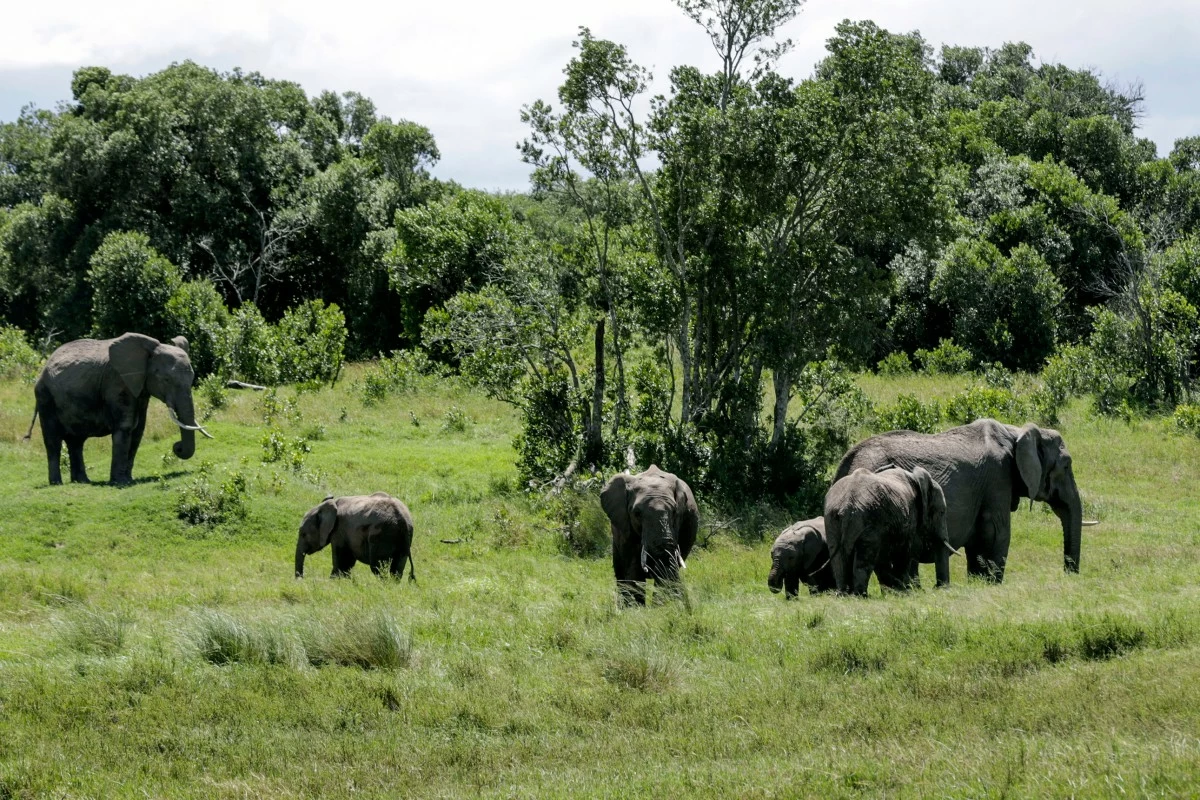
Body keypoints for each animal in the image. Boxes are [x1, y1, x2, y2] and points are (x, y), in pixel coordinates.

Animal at [25, 332, 211, 486]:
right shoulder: (117, 383)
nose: (177, 447)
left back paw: (82, 481)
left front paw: (129, 479)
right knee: (53, 441)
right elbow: (126, 427)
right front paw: (121, 483)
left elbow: (138, 431)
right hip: (45, 397)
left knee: (76, 442)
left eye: (192, 378)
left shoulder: (140, 389)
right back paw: (57, 483)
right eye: (165, 380)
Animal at [600, 465, 698, 606]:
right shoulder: (625, 527)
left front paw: (662, 606)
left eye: (675, 512)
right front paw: (636, 608)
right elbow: (633, 566)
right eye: (637, 513)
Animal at [823, 465, 952, 596]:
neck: (914, 477)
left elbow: (884, 558)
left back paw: (844, 595)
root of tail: (846, 505)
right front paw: (904, 592)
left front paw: (892, 592)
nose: (937, 587)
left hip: (832, 519)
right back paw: (861, 596)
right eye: (941, 512)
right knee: (864, 559)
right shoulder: (909, 516)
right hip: (867, 519)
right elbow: (905, 552)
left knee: (838, 557)